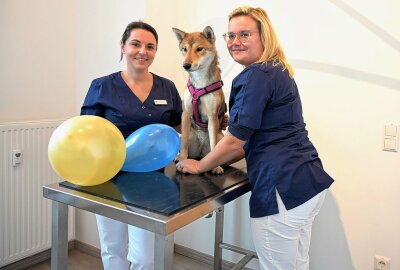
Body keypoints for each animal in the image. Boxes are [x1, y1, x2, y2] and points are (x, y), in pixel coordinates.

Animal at [173, 24, 227, 173]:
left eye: (199, 49)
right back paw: (177, 157)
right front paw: (182, 160)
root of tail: (201, 152)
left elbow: (214, 147)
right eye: (184, 49)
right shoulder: (185, 113)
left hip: (221, 137)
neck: (199, 85)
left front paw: (216, 167)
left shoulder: (212, 116)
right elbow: (184, 145)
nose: (186, 65)